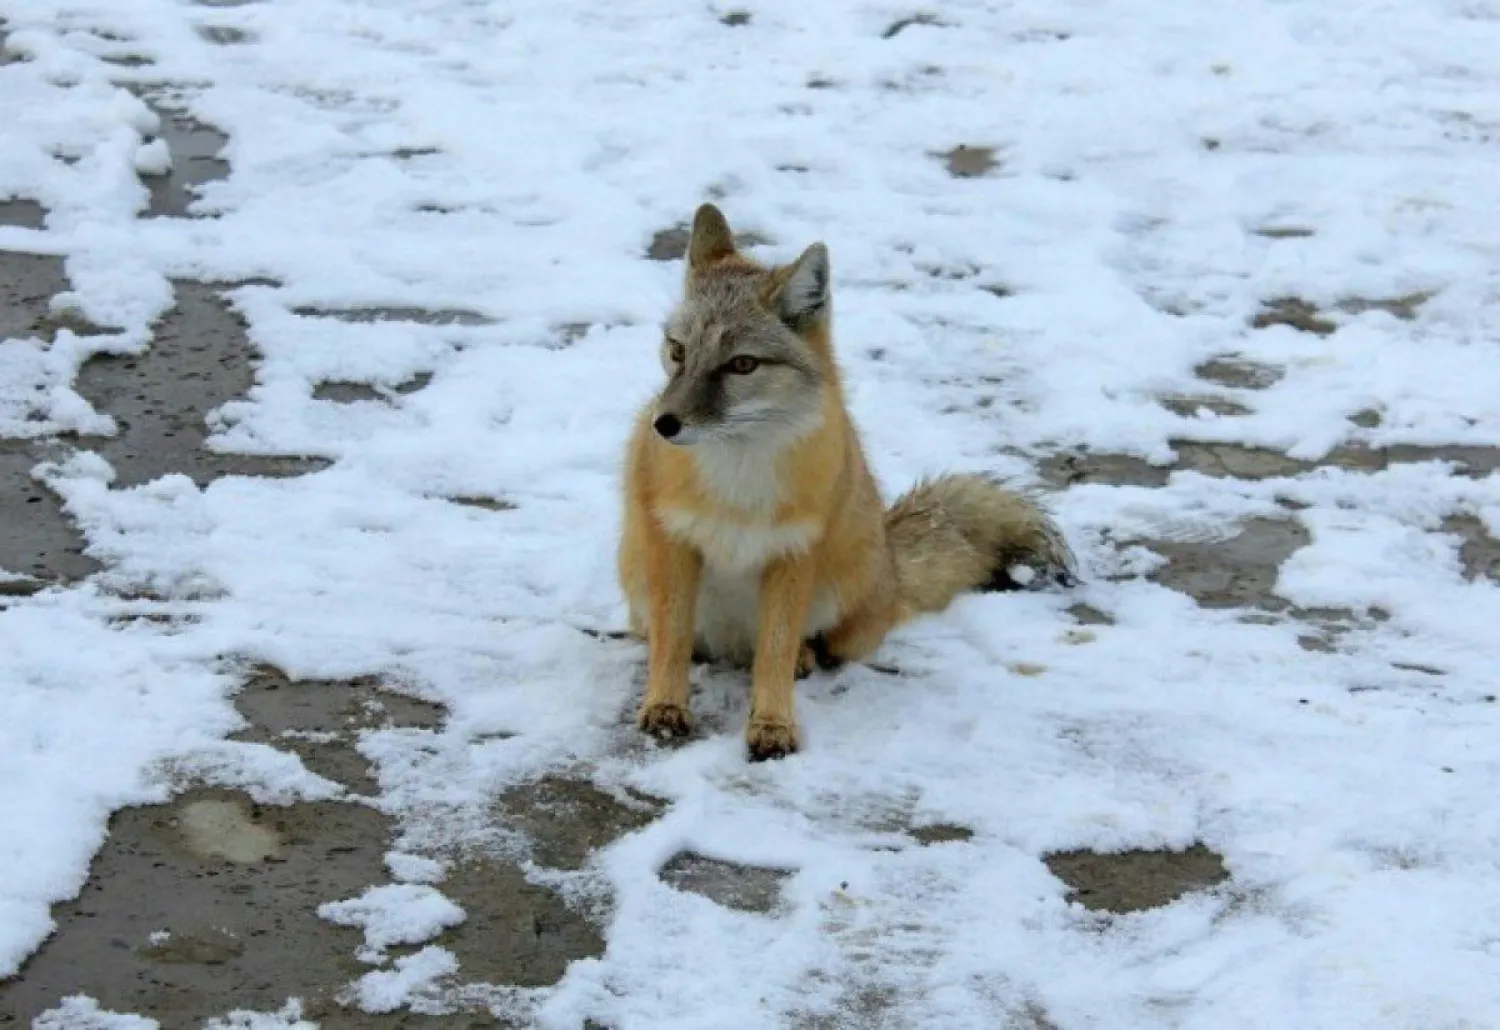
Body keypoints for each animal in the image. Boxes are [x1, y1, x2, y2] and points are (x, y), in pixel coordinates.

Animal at [621, 205, 1080, 761]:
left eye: (741, 364)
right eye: (678, 351)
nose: (664, 425)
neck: (737, 485)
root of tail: (892, 570)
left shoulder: (793, 553)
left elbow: (774, 652)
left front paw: (772, 722)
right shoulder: (674, 543)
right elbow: (672, 643)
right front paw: (665, 706)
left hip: (843, 610)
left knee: (805, 647)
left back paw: (804, 658)